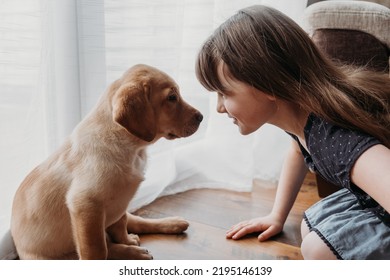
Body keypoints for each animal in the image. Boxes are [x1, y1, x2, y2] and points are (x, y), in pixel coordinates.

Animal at [10, 64, 203, 260]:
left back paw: (171, 223)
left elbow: (120, 226)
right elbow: (96, 249)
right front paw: (126, 246)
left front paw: (127, 240)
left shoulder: (120, 201)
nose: (201, 117)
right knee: (105, 247)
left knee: (135, 222)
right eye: (172, 98)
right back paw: (134, 251)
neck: (131, 148)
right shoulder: (86, 205)